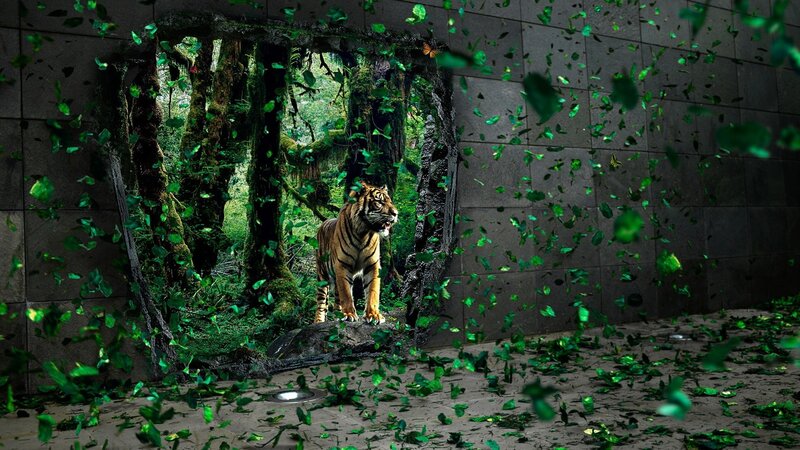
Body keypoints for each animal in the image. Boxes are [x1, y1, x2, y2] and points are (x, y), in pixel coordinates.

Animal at [314, 182, 398, 325]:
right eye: (379, 202)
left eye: (390, 201)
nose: (396, 214)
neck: (363, 232)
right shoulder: (342, 265)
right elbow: (346, 293)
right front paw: (349, 314)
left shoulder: (372, 265)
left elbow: (372, 291)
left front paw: (373, 315)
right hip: (322, 276)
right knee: (321, 303)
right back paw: (319, 321)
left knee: (337, 298)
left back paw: (337, 313)